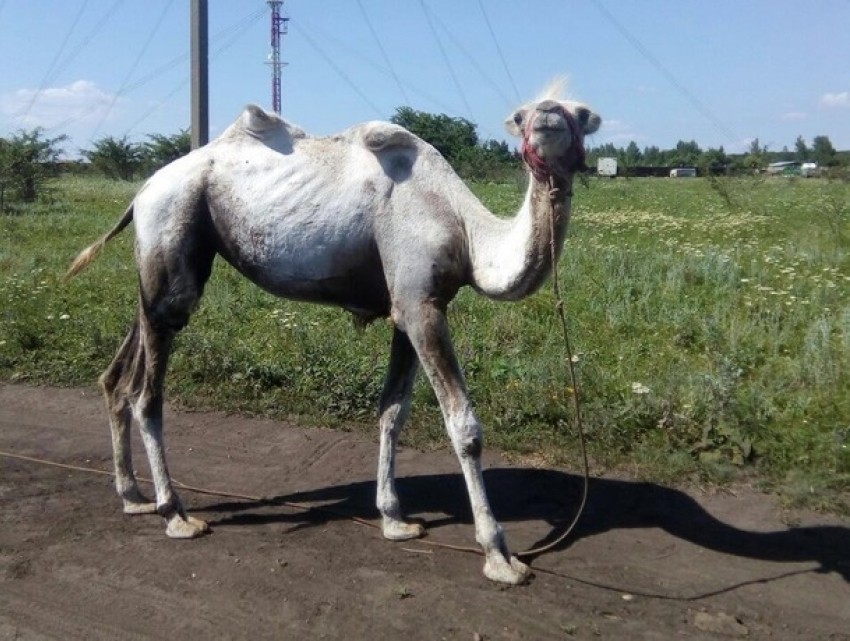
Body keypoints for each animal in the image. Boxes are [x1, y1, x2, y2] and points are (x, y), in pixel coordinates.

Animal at [64, 81, 596, 584]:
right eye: (521, 116)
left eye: (584, 113)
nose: (549, 117)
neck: (466, 232)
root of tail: (141, 192)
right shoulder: (421, 304)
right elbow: (463, 426)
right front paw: (500, 556)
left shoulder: (408, 307)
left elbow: (392, 412)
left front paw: (395, 519)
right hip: (172, 241)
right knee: (146, 394)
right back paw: (175, 514)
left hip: (157, 279)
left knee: (118, 377)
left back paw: (132, 494)